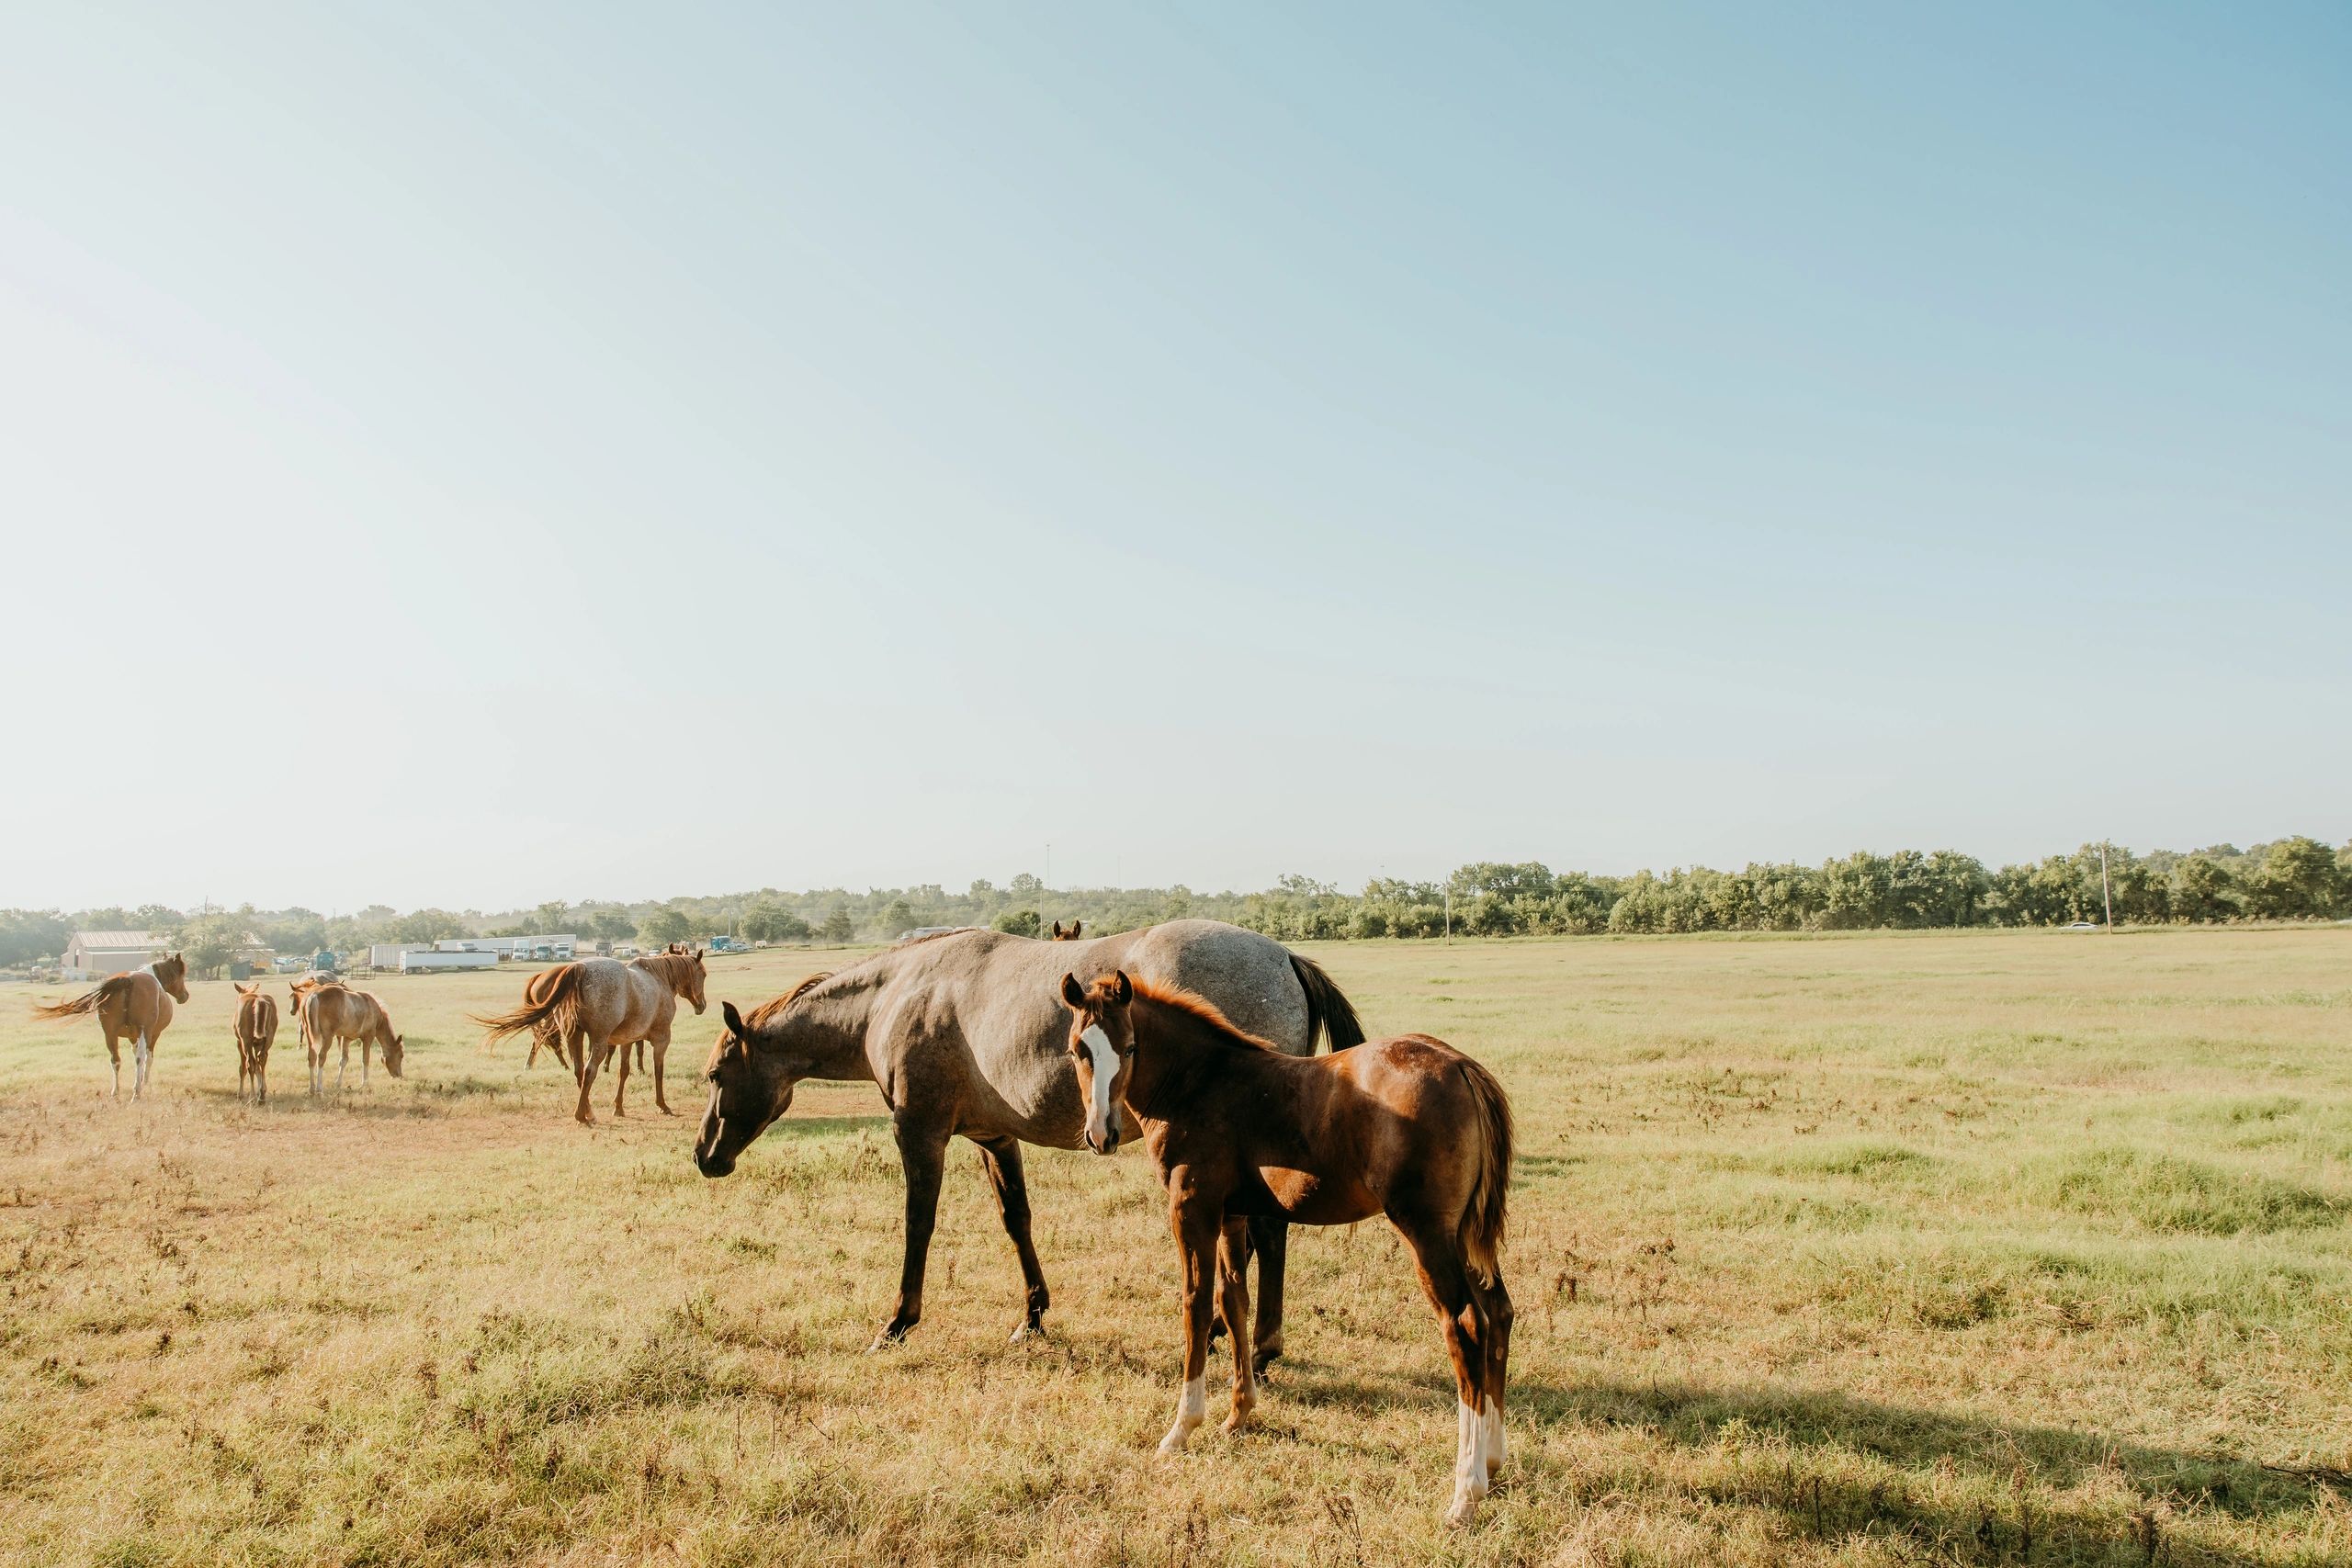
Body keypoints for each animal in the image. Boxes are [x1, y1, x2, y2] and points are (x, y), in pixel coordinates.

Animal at [31, 953, 190, 1099]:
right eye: (181, 975)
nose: (185, 996)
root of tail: (128, 980)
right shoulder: (153, 1033)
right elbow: (148, 1058)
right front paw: (144, 1082)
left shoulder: (132, 1036)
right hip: (143, 1030)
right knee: (139, 1058)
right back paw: (136, 1093)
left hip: (110, 1033)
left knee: (116, 1060)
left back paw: (115, 1092)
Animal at [232, 982, 279, 1103]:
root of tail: (259, 1000)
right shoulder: (258, 1044)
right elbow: (258, 1067)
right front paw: (261, 1089)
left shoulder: (240, 1043)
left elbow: (243, 1068)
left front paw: (240, 1094)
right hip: (268, 1039)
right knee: (262, 1059)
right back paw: (261, 1095)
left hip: (246, 1041)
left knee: (250, 1064)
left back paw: (252, 1096)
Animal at [473, 948, 707, 1122]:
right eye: (703, 975)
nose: (702, 1005)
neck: (659, 978)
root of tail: (579, 967)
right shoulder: (661, 1039)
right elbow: (658, 1071)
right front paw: (662, 1105)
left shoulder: (627, 1040)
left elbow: (624, 1071)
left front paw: (618, 1107)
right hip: (598, 1041)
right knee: (588, 1070)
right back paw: (582, 1115)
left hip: (574, 1037)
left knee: (579, 1070)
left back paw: (589, 1113)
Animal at [693, 919, 1364, 1356]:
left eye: (716, 1074)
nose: (704, 1156)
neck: (898, 993)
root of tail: (1285, 958)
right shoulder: (994, 1138)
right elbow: (1017, 1219)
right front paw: (1033, 1316)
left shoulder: (919, 1131)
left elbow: (918, 1223)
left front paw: (899, 1321)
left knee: (1265, 1232)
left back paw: (1258, 1344)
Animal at [1058, 969, 1514, 1527]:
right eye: (1078, 1049)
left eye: (1129, 1046)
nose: (1101, 1134)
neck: (1199, 1083)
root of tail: (1462, 1067)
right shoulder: (1232, 1215)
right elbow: (1233, 1301)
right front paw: (1238, 1413)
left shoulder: (1192, 1208)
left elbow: (1195, 1304)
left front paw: (1182, 1428)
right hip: (1463, 1236)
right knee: (1498, 1313)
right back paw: (1492, 1460)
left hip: (1428, 1233)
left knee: (1466, 1326)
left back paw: (1465, 1493)